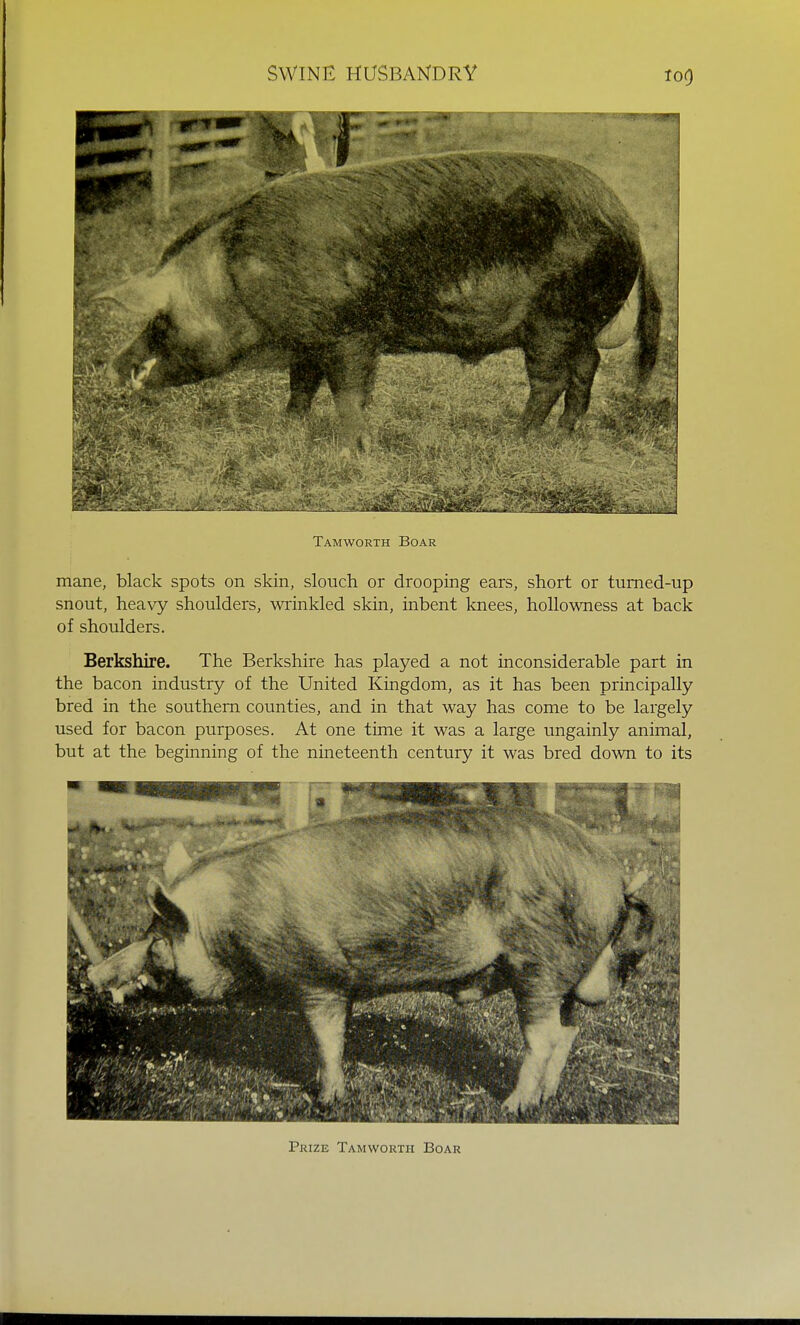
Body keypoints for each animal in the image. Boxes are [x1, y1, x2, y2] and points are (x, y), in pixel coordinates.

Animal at [87, 807, 654, 1113]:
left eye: (157, 936)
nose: (91, 971)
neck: (228, 922)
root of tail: (613, 875)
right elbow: (340, 1034)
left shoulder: (316, 976)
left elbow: (325, 1039)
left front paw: (325, 1101)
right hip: (565, 976)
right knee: (569, 1032)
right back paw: (545, 1101)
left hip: (538, 964)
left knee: (544, 1038)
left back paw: (512, 1105)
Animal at [95, 151, 662, 453]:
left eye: (160, 321)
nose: (110, 368)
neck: (235, 276)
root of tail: (629, 220)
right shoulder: (309, 338)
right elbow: (301, 384)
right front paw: (288, 428)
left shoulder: (350, 330)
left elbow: (348, 393)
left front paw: (351, 453)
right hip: (579, 320)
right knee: (586, 366)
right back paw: (564, 436)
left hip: (554, 316)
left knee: (551, 380)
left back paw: (514, 438)